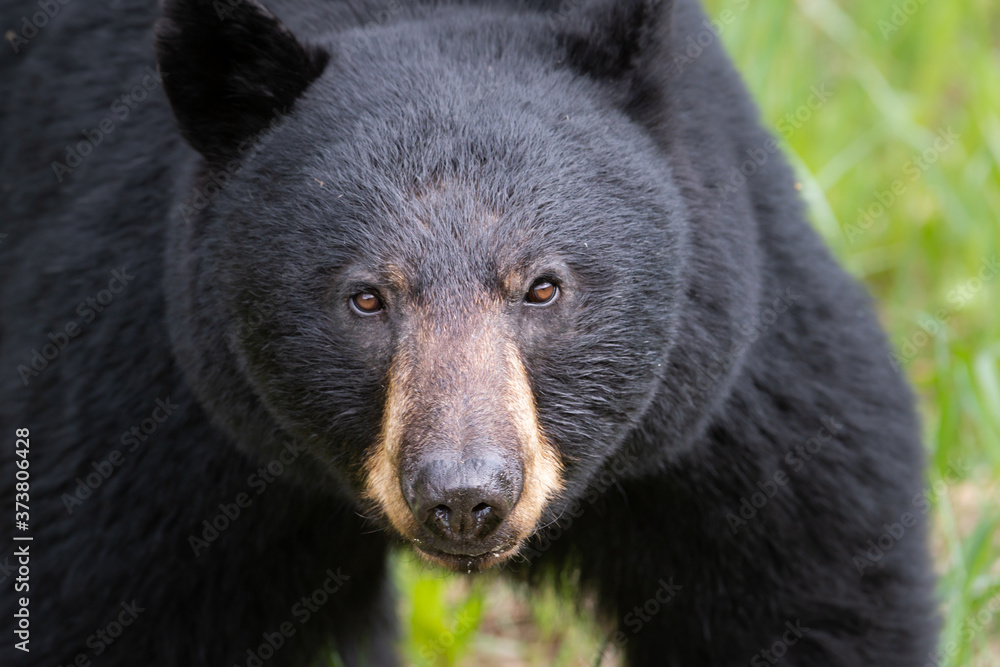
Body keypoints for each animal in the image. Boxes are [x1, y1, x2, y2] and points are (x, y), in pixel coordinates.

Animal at [0, 0, 939, 665]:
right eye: (366, 298)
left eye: (544, 287)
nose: (463, 496)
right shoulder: (157, 411)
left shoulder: (723, 391)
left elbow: (810, 581)